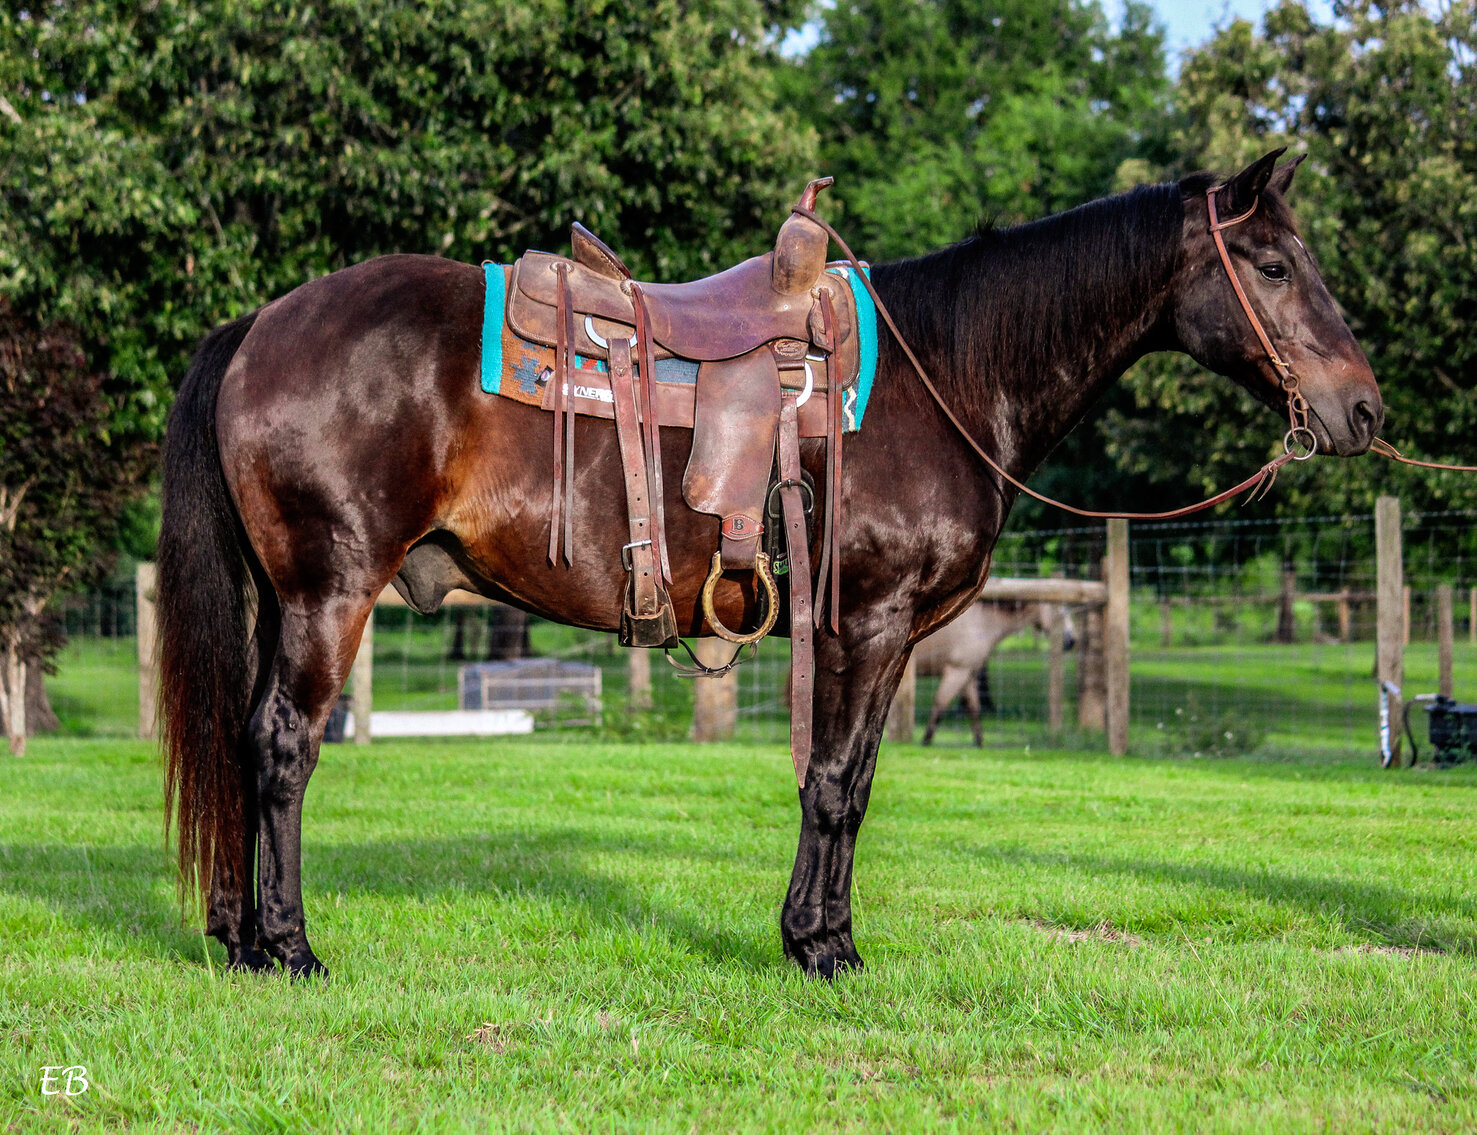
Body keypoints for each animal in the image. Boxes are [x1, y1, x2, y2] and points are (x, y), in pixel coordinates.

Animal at [915, 599, 1076, 747]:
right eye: (1060, 611)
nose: (1071, 641)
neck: (982, 622)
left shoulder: (968, 675)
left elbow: (974, 709)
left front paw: (979, 743)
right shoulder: (956, 672)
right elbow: (940, 706)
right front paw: (925, 742)